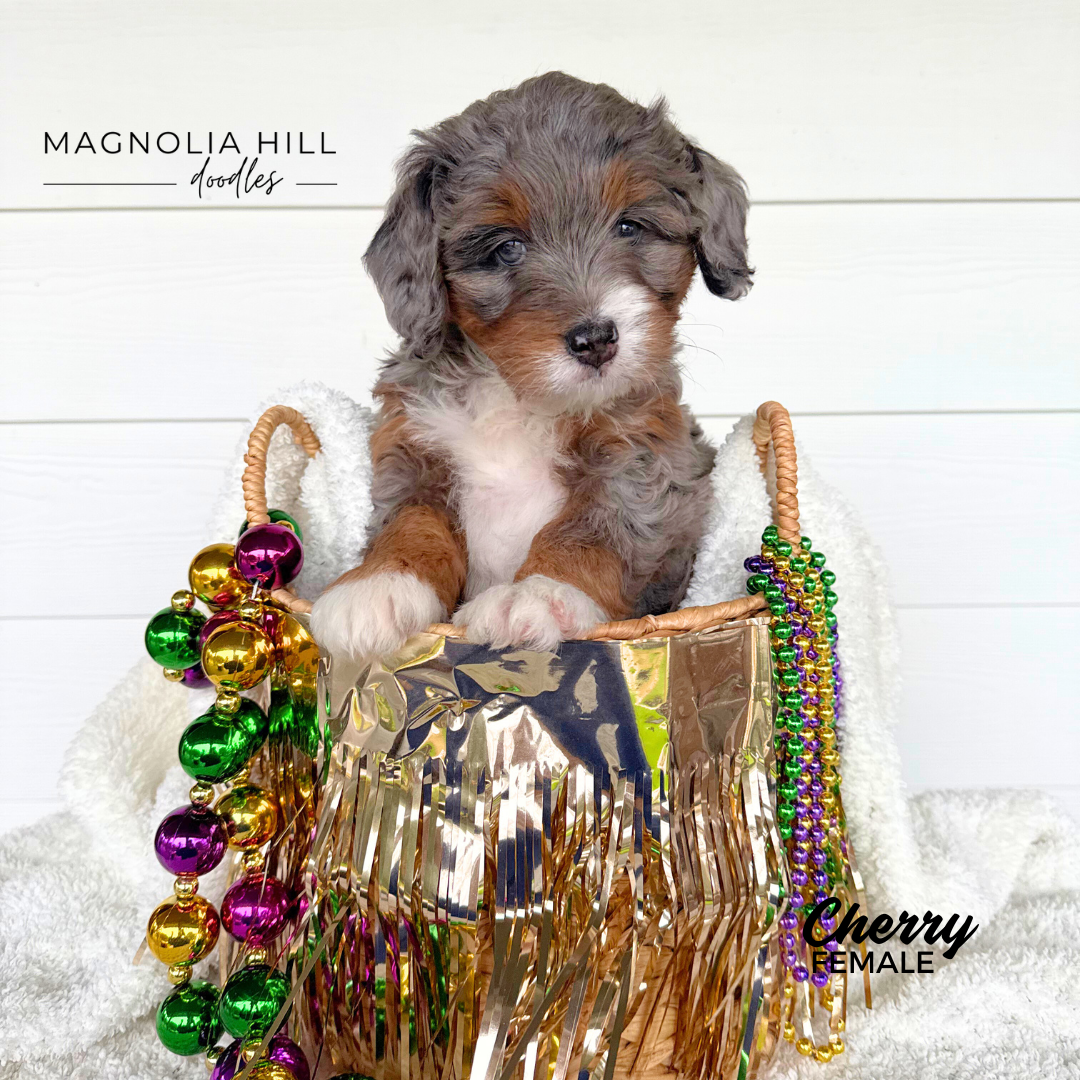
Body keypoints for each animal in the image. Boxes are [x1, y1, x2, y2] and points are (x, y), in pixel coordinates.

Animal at [309, 72, 752, 660]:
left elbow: (596, 525)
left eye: (630, 227)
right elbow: (411, 518)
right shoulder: (411, 447)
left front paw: (540, 592)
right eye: (507, 248)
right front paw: (379, 583)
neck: (518, 398)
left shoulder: (647, 455)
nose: (595, 340)